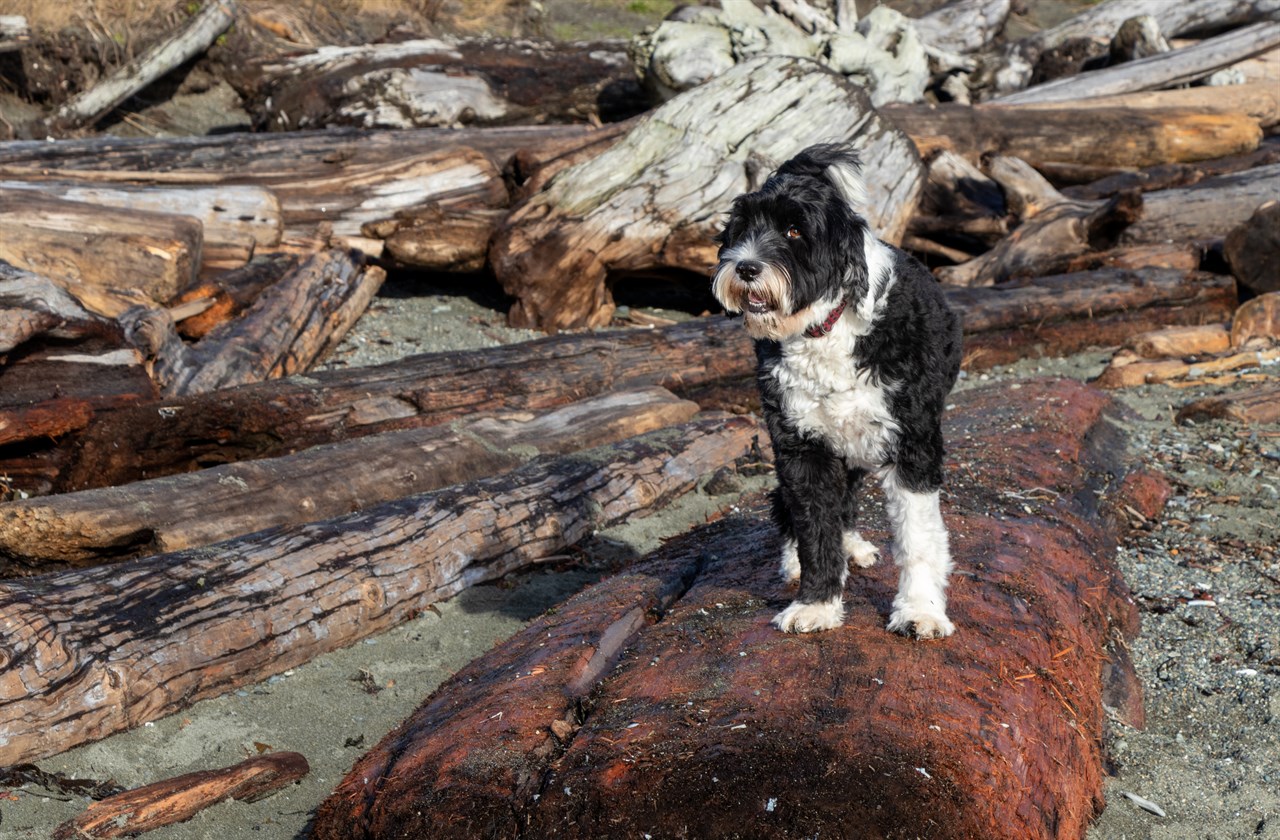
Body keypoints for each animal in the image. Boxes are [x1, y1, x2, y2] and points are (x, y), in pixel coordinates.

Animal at [711, 144, 962, 637]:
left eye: (794, 230)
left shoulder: (913, 445)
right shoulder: (802, 445)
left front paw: (920, 610)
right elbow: (814, 528)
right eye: (742, 229)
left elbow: (918, 537)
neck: (825, 328)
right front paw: (817, 603)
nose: (745, 267)